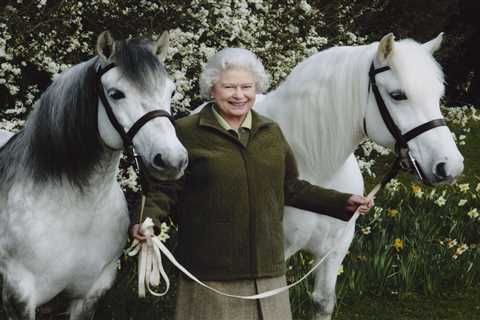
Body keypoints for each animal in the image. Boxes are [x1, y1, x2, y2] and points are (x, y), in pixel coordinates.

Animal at [253, 33, 464, 318]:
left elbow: (323, 301)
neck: (316, 168)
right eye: (398, 95)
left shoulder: (335, 248)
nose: (450, 166)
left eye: (438, 95)